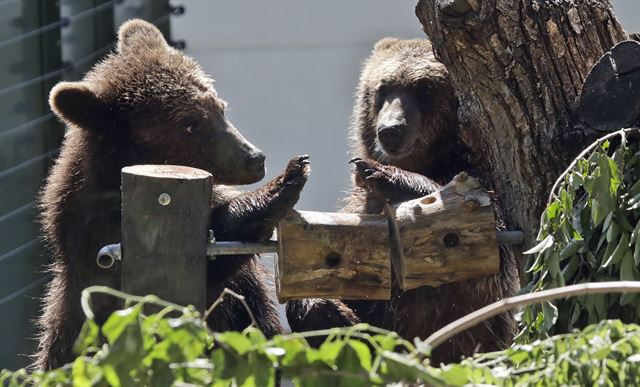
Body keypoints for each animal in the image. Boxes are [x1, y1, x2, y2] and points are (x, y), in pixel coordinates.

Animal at [35, 19, 310, 372]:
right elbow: (215, 254)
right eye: (189, 124)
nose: (254, 158)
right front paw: (289, 177)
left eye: (219, 107)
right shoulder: (103, 235)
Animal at [288, 38, 516, 366]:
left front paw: (378, 172)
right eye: (383, 88)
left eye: (425, 88)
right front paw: (328, 311)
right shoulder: (361, 214)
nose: (390, 131)